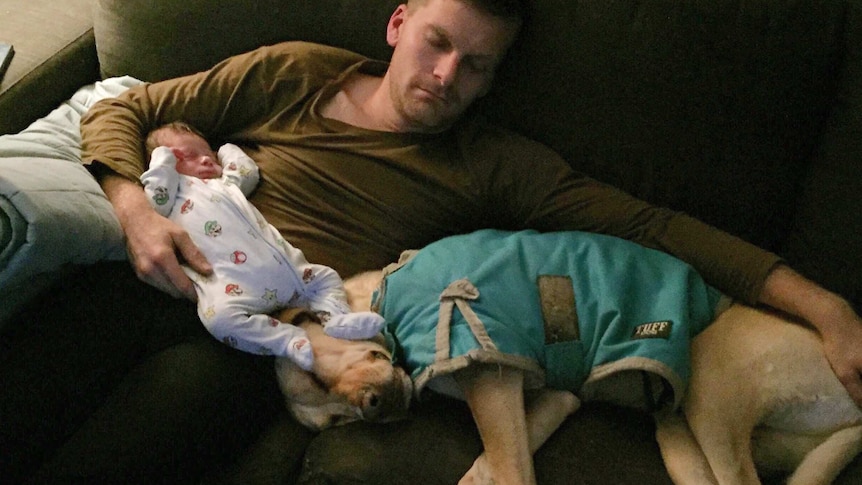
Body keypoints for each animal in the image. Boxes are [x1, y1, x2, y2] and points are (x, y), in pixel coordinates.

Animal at [342, 230, 862, 484]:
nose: (371, 408)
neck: (383, 290)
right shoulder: (553, 393)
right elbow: (512, 446)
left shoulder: (489, 365)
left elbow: (511, 465)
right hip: (687, 430)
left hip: (711, 382)